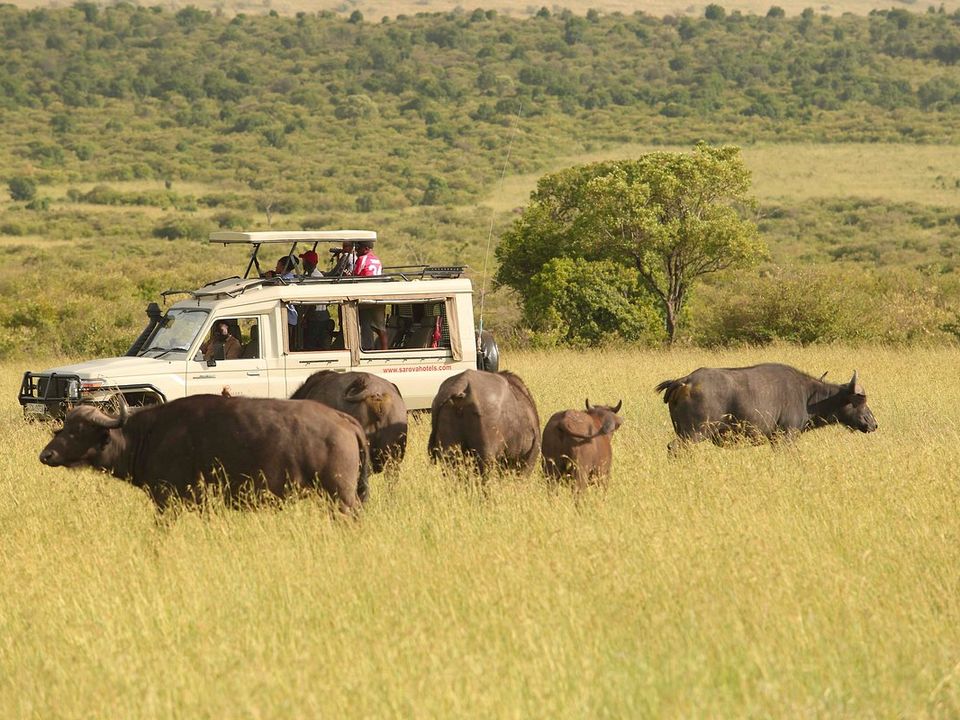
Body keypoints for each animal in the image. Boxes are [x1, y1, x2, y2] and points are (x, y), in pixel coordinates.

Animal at [652, 366, 876, 450]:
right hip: (695, 433)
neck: (807, 397)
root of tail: (685, 381)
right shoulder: (785, 437)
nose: (873, 423)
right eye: (861, 401)